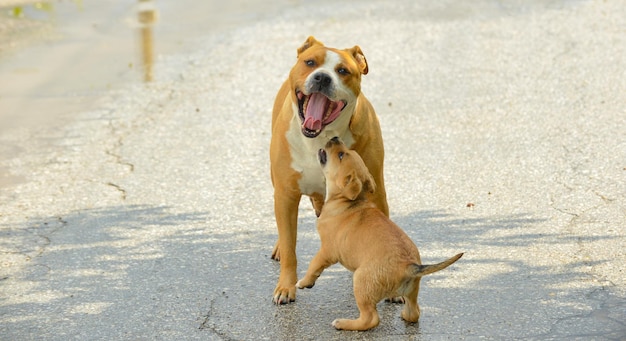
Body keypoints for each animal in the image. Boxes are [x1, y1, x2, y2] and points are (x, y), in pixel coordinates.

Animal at [270, 36, 388, 302]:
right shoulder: (285, 194)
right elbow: (290, 245)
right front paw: (285, 287)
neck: (319, 138)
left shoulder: (375, 189)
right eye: (310, 62)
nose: (323, 77)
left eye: (343, 71)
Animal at [294, 137, 460, 330]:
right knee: (414, 312)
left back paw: (344, 323)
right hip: (411, 292)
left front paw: (304, 283)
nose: (335, 138)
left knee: (370, 318)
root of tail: (408, 266)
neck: (347, 201)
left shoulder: (326, 251)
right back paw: (404, 315)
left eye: (341, 155)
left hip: (360, 282)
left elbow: (314, 265)